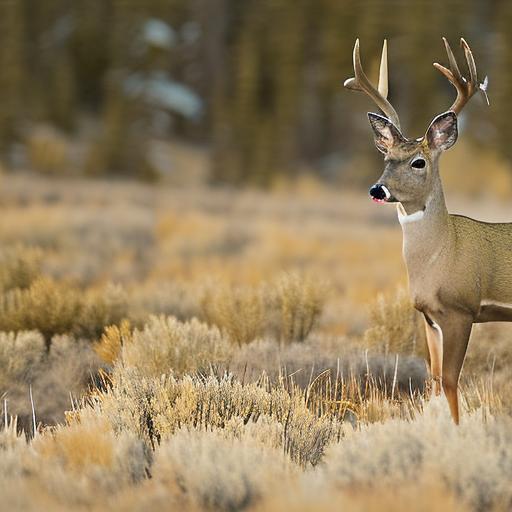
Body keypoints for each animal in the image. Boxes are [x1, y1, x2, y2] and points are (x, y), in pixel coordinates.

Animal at [344, 37, 496, 424]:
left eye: (418, 161)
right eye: (387, 159)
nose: (377, 189)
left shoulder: (462, 309)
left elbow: (451, 381)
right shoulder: (429, 317)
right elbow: (435, 377)